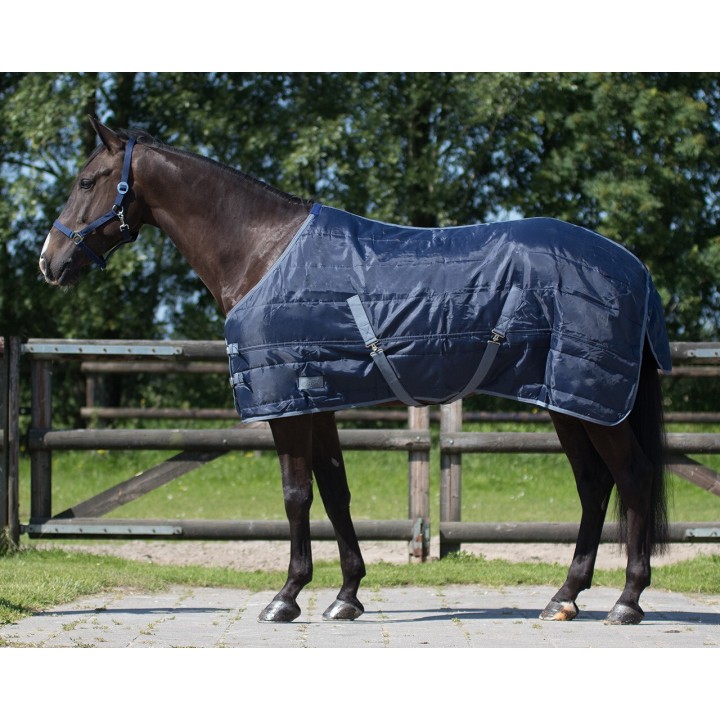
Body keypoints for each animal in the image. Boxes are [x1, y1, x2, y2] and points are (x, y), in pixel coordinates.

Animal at [39, 117, 671, 625]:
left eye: (87, 181)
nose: (49, 261)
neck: (263, 252)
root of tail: (634, 267)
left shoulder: (287, 402)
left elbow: (296, 494)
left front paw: (286, 597)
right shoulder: (315, 398)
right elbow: (335, 491)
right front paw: (346, 595)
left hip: (593, 399)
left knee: (633, 477)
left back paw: (627, 602)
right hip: (565, 398)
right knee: (594, 487)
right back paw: (564, 598)